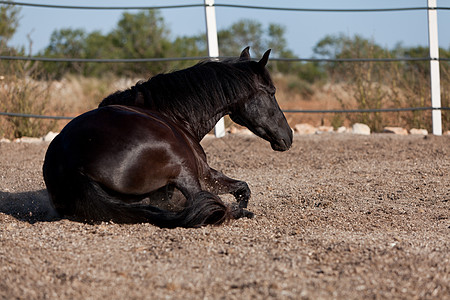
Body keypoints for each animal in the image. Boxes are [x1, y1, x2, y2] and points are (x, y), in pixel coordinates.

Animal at [44, 47, 294, 227]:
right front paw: (243, 209)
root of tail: (74, 166)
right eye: (271, 92)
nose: (289, 135)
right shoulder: (207, 174)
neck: (171, 113)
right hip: (184, 169)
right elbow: (243, 188)